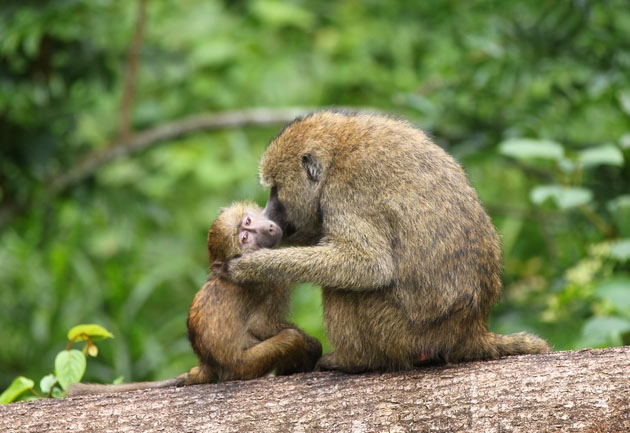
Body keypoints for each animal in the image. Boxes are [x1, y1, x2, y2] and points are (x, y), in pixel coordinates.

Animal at [70, 202, 320, 394]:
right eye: (245, 237)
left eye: (248, 221)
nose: (268, 229)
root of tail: (206, 365)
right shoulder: (272, 280)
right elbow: (262, 325)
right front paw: (313, 346)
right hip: (245, 366)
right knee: (288, 338)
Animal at [228, 109, 552, 372]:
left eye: (275, 190)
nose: (268, 215)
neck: (338, 152)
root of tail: (469, 330)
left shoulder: (347, 191)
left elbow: (370, 266)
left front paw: (254, 266)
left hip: (400, 333)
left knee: (343, 288)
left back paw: (354, 362)